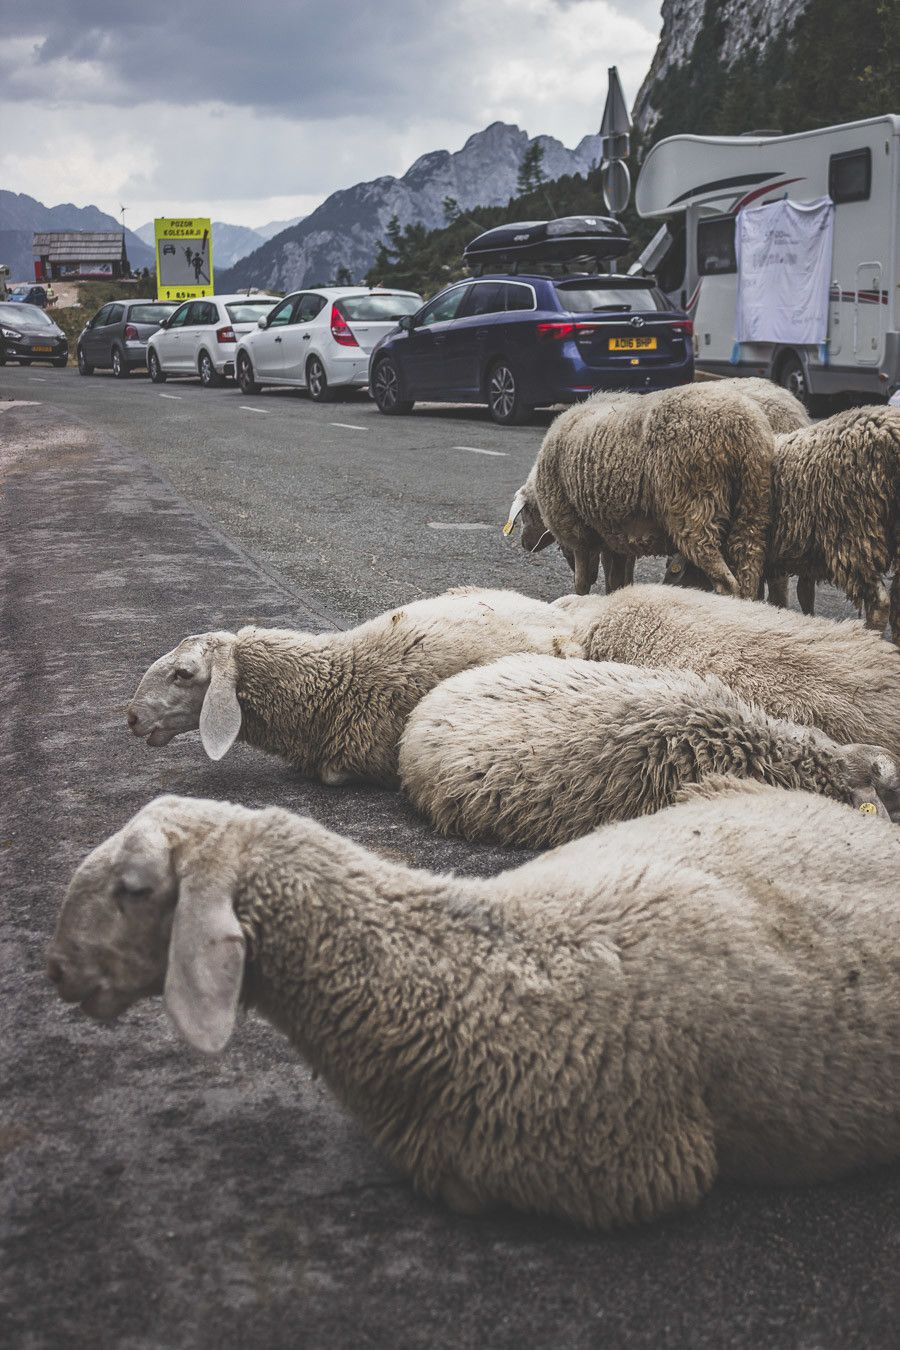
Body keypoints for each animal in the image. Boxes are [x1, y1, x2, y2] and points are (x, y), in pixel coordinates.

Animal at [504, 378, 777, 594]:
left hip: (694, 506)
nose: (525, 544)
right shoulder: (615, 535)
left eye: (526, 513)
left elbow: (582, 583)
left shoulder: (578, 532)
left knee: (726, 582)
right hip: (752, 506)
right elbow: (617, 581)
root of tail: (740, 428)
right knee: (749, 572)